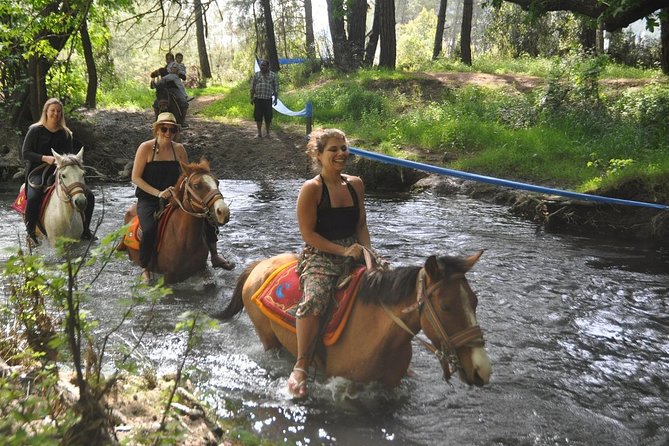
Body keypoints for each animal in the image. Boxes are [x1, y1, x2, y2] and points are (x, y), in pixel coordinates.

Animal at [217, 251, 494, 390]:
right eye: (446, 306)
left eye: (475, 301)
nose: (482, 370)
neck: (378, 334)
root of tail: (260, 265)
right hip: (267, 337)